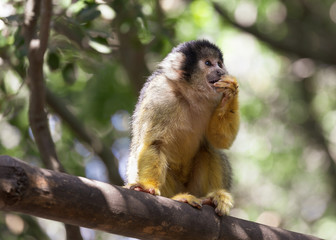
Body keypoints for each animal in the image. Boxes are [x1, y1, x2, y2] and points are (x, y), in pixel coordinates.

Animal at [125, 39, 239, 216]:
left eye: (219, 64)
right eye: (208, 63)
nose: (220, 71)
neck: (190, 94)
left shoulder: (215, 97)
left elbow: (221, 141)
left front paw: (230, 92)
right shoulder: (159, 94)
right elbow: (155, 143)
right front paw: (148, 186)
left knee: (209, 148)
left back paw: (213, 197)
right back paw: (179, 198)